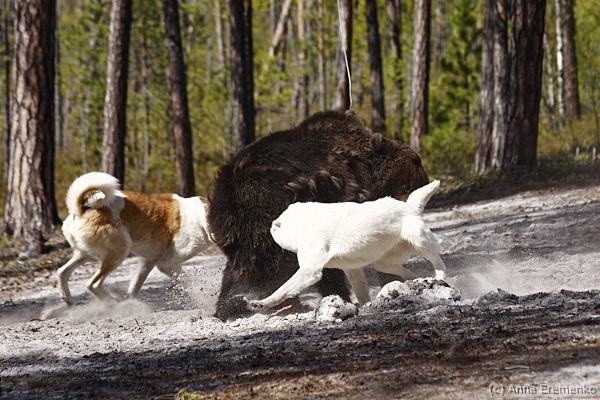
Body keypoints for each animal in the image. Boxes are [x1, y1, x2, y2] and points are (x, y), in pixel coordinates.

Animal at [57, 172, 213, 305]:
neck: (199, 218)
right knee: (93, 284)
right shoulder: (167, 264)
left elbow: (135, 287)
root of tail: (81, 209)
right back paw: (115, 304)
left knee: (62, 272)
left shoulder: (148, 261)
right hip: (118, 253)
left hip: (85, 254)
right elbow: (189, 282)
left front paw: (131, 301)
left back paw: (68, 300)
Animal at [247, 180, 446, 311]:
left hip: (417, 236)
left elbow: (285, 287)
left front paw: (262, 303)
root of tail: (410, 206)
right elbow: (360, 290)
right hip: (383, 261)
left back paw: (439, 276)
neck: (302, 223)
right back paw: (410, 282)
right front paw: (366, 306)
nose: (270, 227)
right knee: (404, 271)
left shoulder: (311, 267)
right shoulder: (352, 268)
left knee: (437, 257)